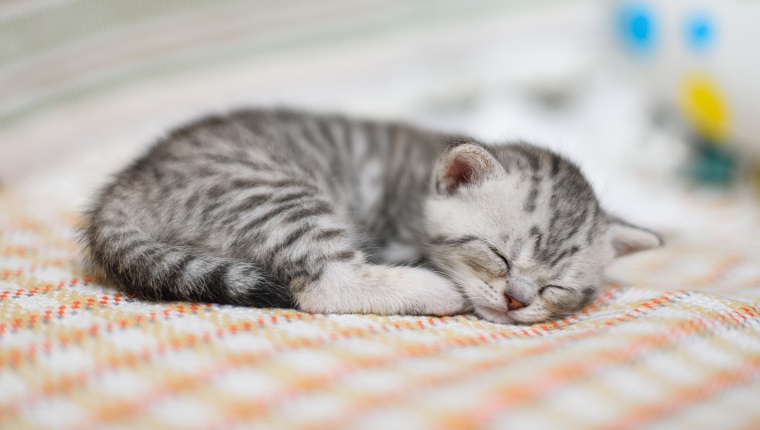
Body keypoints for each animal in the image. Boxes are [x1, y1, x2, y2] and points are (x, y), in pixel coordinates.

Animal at [83, 107, 664, 322]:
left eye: (556, 287)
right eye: (497, 256)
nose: (516, 301)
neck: (417, 185)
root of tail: (129, 184)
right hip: (273, 191)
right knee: (324, 285)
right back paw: (434, 292)